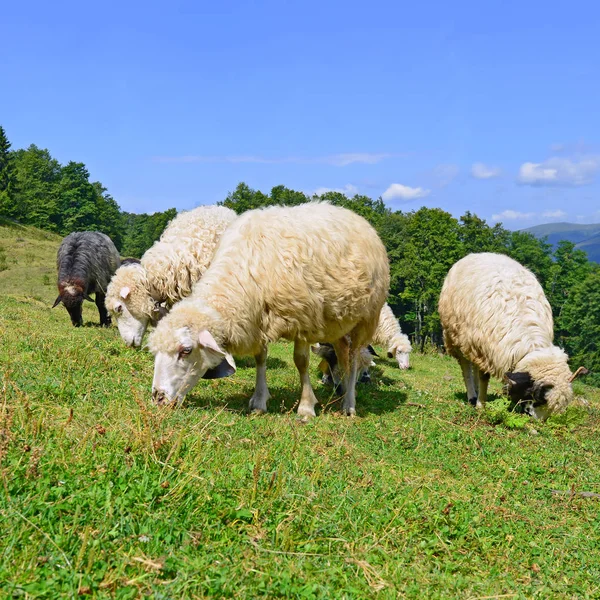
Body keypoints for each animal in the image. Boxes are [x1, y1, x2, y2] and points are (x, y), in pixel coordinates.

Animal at [149, 202, 390, 418]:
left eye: (186, 350)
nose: (158, 398)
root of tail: (353, 215)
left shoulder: (303, 319)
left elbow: (301, 362)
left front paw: (306, 407)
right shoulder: (258, 319)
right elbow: (260, 358)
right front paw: (259, 401)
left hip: (366, 318)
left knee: (355, 356)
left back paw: (349, 404)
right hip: (337, 322)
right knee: (343, 354)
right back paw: (342, 393)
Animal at [438, 251, 580, 420]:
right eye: (539, 399)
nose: (537, 422)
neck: (527, 339)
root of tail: (480, 253)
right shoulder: (485, 349)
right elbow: (484, 377)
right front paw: (481, 405)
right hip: (455, 334)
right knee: (465, 365)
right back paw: (472, 396)